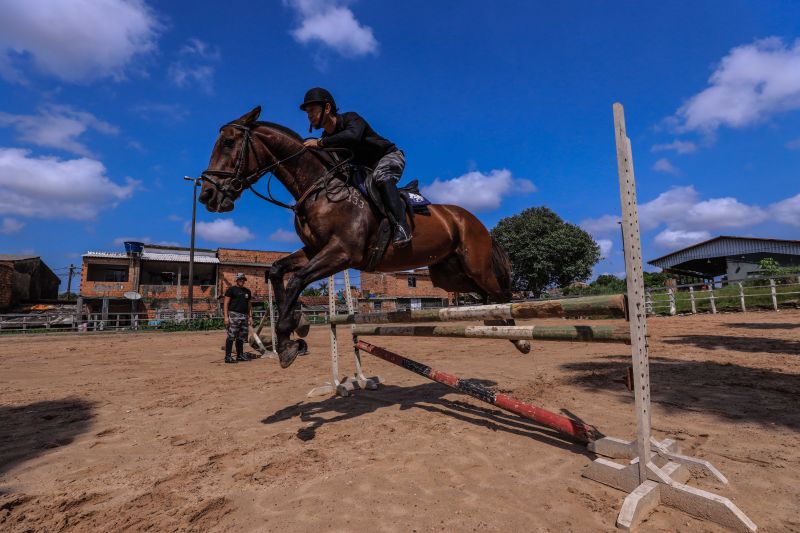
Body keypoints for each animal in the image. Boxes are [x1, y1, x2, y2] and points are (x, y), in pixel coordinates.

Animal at [198, 106, 532, 368]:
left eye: (228, 143)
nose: (207, 195)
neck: (320, 188)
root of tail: (473, 220)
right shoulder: (315, 249)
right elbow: (278, 270)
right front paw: (297, 329)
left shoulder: (341, 253)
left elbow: (296, 280)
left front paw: (288, 335)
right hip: (449, 275)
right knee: (483, 295)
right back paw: (495, 323)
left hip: (476, 265)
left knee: (501, 293)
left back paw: (520, 338)